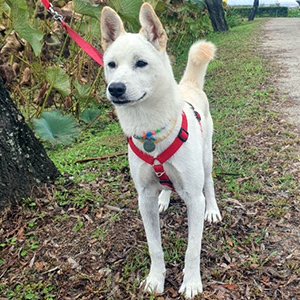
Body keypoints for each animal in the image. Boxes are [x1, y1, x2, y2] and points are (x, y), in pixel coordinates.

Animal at [100, 2, 220, 300]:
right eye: (111, 65)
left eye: (141, 63)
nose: (115, 88)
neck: (150, 131)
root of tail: (189, 86)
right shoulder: (143, 198)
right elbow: (155, 246)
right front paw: (156, 279)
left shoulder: (194, 198)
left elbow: (192, 249)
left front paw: (191, 282)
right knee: (166, 186)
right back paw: (164, 198)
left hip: (206, 159)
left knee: (209, 182)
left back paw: (213, 209)